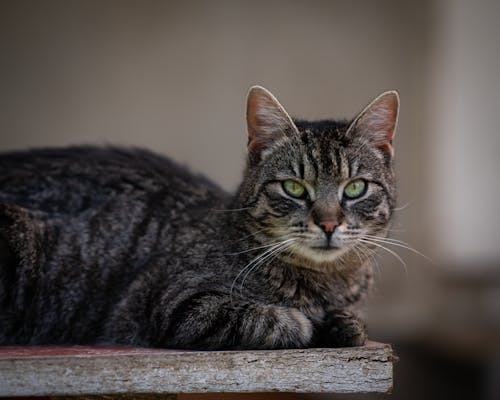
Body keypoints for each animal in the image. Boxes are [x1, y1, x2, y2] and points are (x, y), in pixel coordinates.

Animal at [0, 86, 398, 348]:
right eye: (294, 188)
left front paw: (344, 324)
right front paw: (312, 323)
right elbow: (273, 318)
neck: (326, 282)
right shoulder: (182, 303)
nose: (328, 223)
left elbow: (351, 324)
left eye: (355, 188)